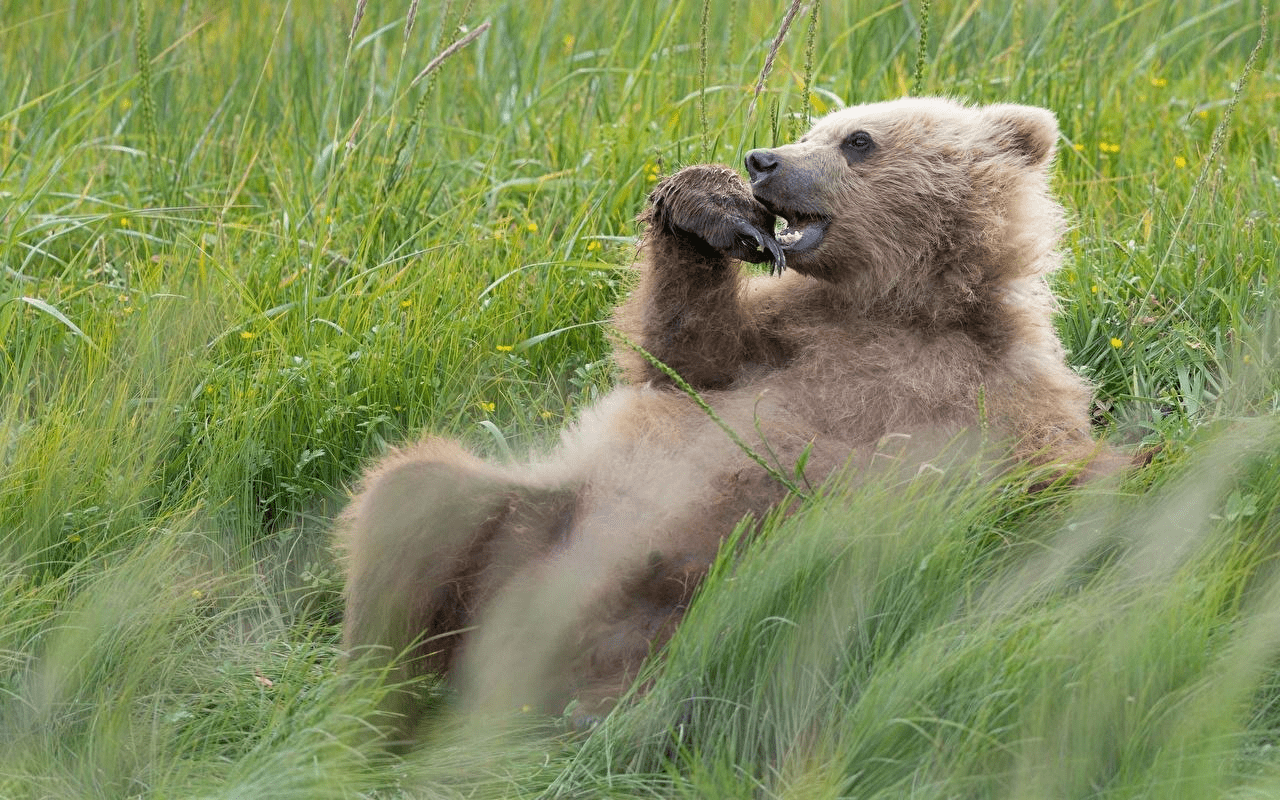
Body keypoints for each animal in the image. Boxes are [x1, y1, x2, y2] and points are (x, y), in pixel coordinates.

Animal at [337, 98, 1121, 742]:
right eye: (814, 126)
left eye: (859, 139)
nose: (764, 160)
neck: (904, 309)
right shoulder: (787, 335)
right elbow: (686, 353)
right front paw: (709, 206)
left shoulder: (1005, 394)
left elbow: (1040, 501)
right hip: (542, 519)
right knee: (414, 498)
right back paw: (368, 702)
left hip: (702, 595)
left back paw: (611, 712)